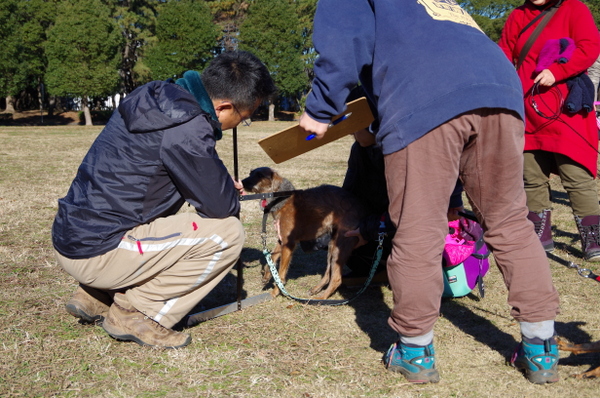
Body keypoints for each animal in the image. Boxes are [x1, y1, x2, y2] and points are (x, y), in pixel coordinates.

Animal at [240, 166, 364, 300]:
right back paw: (316, 290)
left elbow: (281, 273)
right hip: (332, 245)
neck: (281, 199)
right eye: (251, 173)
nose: (241, 182)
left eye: (260, 175)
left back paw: (320, 299)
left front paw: (275, 291)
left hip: (340, 246)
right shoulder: (282, 239)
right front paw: (267, 275)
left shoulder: (288, 243)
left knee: (336, 279)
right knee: (328, 274)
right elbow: (272, 256)